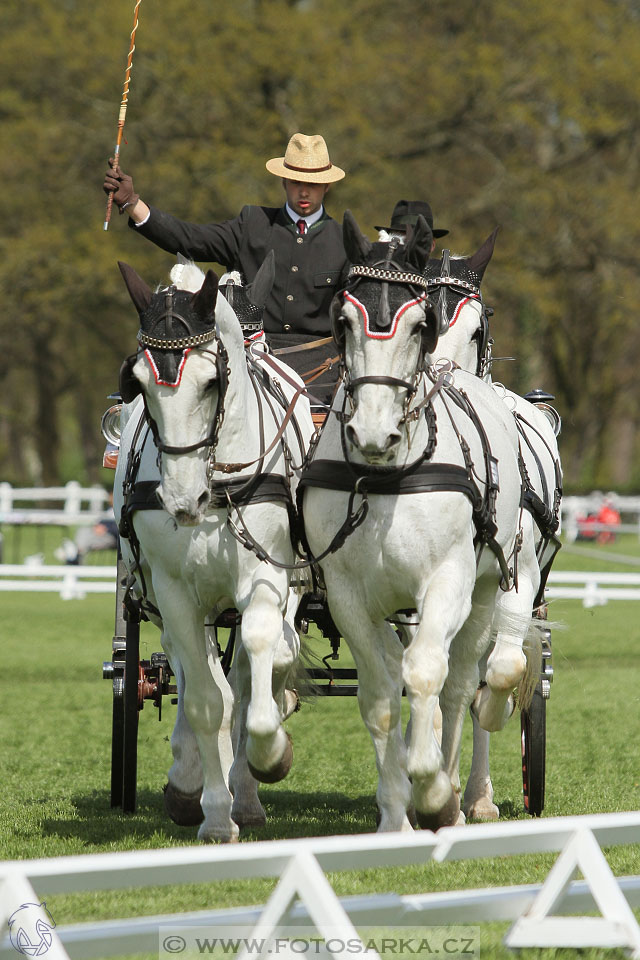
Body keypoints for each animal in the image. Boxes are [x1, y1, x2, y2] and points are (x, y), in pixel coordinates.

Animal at [116, 255, 316, 840]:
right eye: (139, 383)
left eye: (211, 381)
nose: (183, 500)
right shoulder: (177, 596)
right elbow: (208, 700)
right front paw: (212, 814)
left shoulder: (267, 581)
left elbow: (256, 680)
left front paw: (270, 756)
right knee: (193, 675)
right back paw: (194, 781)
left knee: (252, 672)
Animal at [300, 214, 540, 828]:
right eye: (342, 321)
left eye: (418, 325)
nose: (372, 433)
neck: (390, 475)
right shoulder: (349, 597)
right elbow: (382, 696)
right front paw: (394, 811)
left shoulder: (451, 581)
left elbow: (430, 675)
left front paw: (433, 792)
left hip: (486, 587)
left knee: (464, 682)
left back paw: (460, 790)